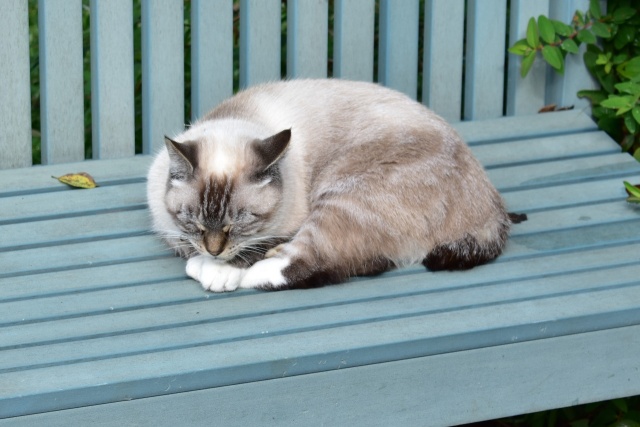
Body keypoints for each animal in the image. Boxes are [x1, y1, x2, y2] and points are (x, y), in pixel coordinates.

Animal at [148, 78, 512, 292]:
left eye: (240, 223)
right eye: (194, 221)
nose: (214, 251)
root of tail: (493, 208)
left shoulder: (288, 225)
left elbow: (259, 248)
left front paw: (218, 269)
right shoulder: (173, 231)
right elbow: (186, 243)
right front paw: (206, 261)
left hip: (342, 198)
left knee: (312, 262)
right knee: (368, 262)